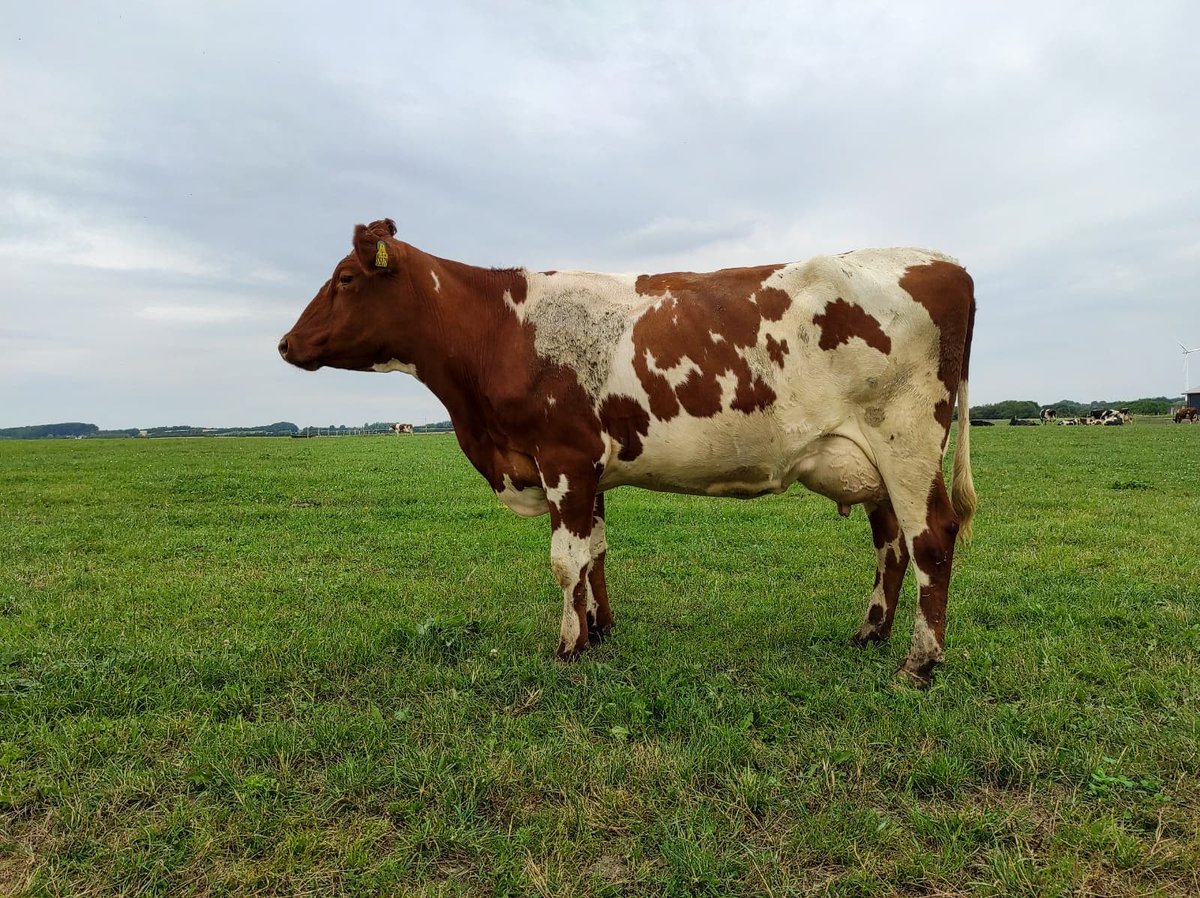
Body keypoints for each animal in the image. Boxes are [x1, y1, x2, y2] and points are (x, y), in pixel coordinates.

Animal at [279, 219, 977, 687]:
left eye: (345, 278)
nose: (286, 343)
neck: (500, 331)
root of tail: (944, 262)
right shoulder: (588, 471)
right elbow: (595, 555)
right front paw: (598, 631)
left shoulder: (562, 457)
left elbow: (565, 561)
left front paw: (567, 647)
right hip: (873, 461)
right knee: (890, 543)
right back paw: (871, 632)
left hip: (907, 440)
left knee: (931, 538)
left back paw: (919, 662)